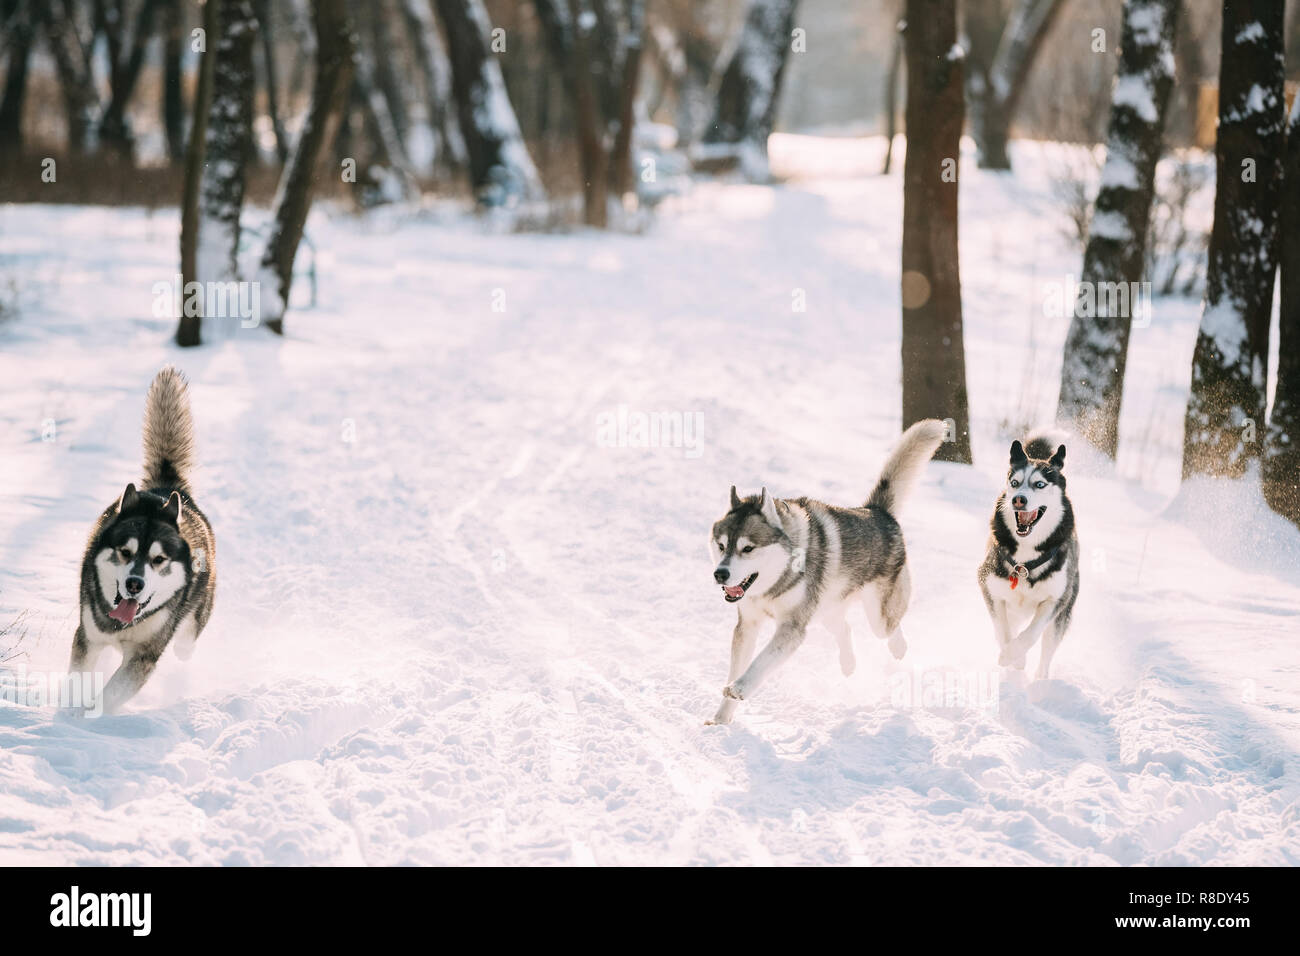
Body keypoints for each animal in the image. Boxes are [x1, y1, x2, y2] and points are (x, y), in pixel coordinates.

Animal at [70, 369, 215, 712]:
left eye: (158, 560)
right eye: (125, 552)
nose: (134, 584)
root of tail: (166, 490)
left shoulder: (144, 656)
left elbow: (111, 694)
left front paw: (93, 716)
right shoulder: (87, 637)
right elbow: (79, 679)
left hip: (196, 614)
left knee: (186, 643)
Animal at [707, 418, 951, 723]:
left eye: (748, 548)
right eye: (721, 545)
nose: (720, 574)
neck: (778, 580)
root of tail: (877, 511)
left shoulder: (793, 628)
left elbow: (760, 662)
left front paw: (740, 688)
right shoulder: (748, 624)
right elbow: (736, 667)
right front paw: (720, 720)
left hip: (877, 615)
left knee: (890, 629)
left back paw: (898, 649)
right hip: (827, 610)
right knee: (844, 628)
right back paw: (848, 664)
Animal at [977, 437, 1076, 676]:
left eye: (1039, 484)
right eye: (1014, 482)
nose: (1018, 500)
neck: (1025, 559)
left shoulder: (1057, 598)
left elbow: (1032, 633)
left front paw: (1015, 654)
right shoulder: (989, 586)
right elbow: (1002, 630)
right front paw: (1012, 657)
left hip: (1061, 619)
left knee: (1046, 652)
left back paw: (1040, 679)